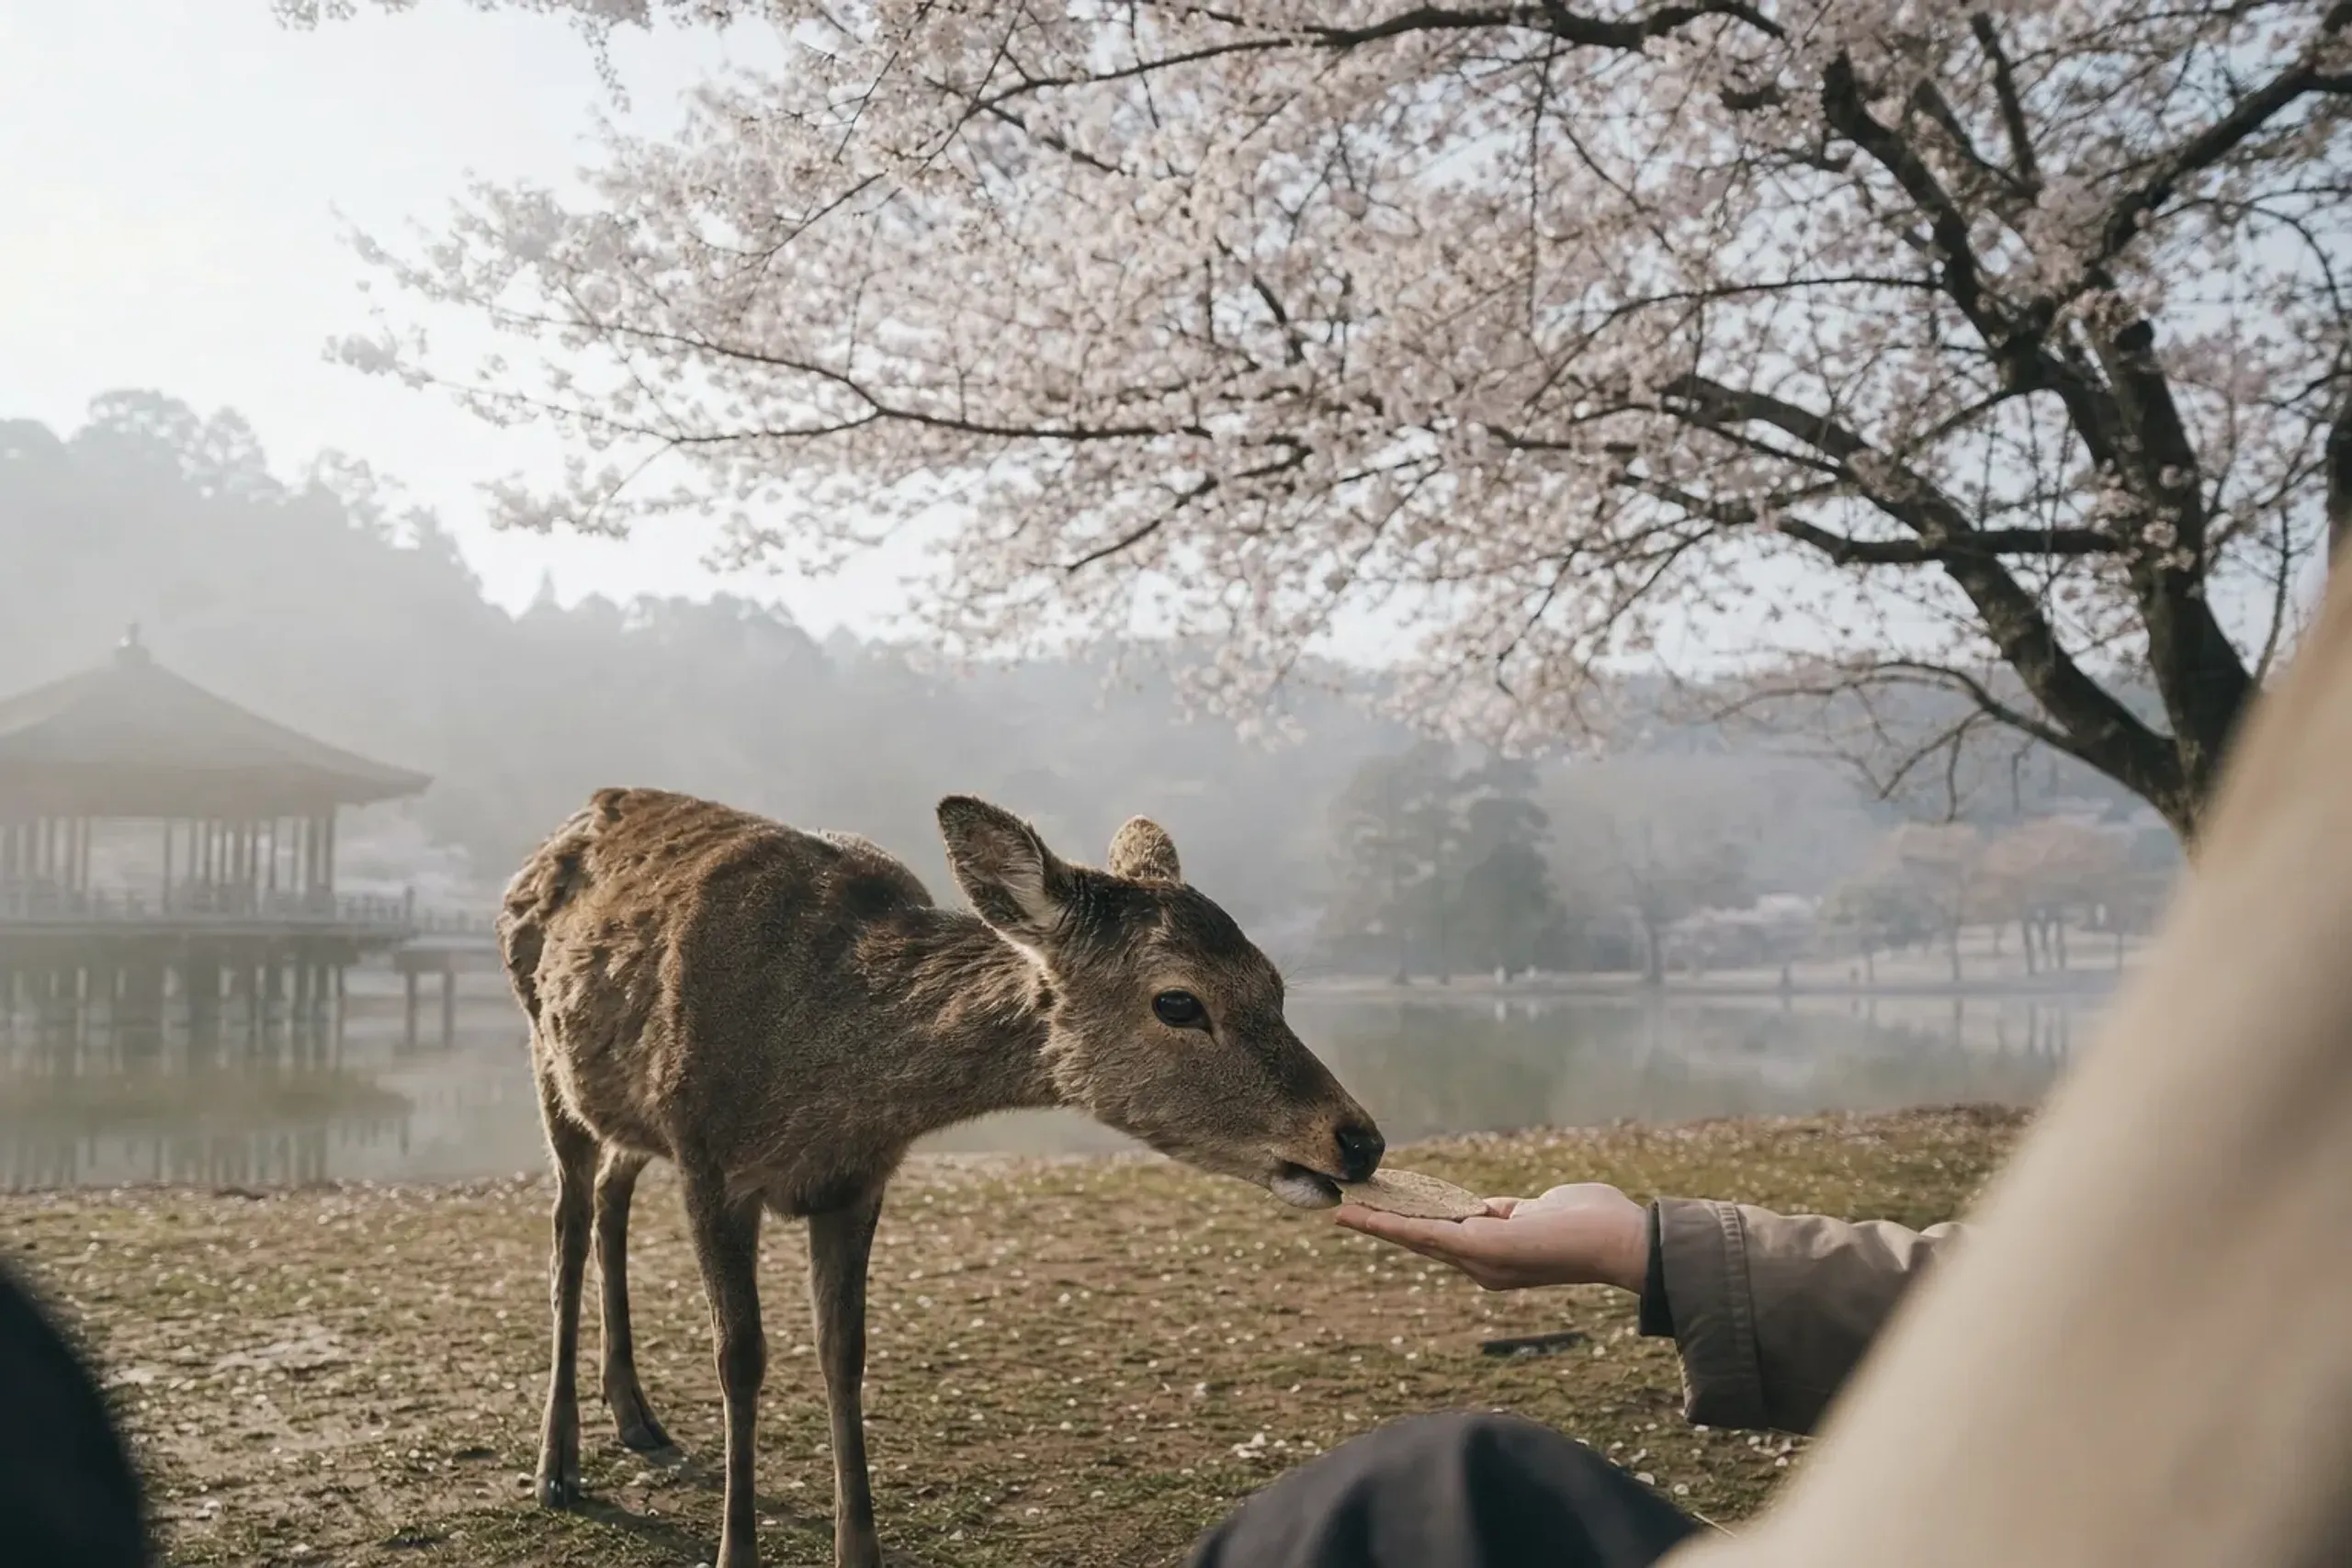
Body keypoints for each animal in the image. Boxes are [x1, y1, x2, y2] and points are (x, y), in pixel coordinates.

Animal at [498, 787, 1385, 1568]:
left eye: (1275, 983)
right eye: (1177, 1001)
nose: (1359, 1140)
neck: (822, 1079)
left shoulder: (859, 1178)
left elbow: (844, 1350)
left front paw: (860, 1550)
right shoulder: (706, 1154)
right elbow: (740, 1358)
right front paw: (734, 1551)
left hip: (624, 1111)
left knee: (611, 1197)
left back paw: (636, 1416)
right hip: (549, 1060)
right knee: (567, 1224)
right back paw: (557, 1464)